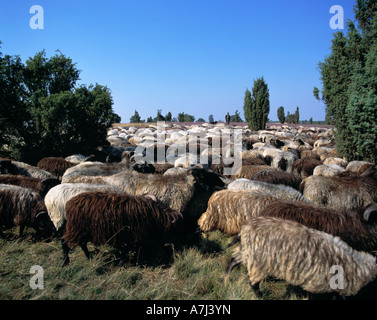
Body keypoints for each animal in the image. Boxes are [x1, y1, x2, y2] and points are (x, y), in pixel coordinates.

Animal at [226, 216, 376, 298]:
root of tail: (245, 227)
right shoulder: (316, 283)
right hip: (259, 260)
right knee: (253, 282)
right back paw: (260, 296)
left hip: (248, 251)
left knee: (233, 259)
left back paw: (227, 277)